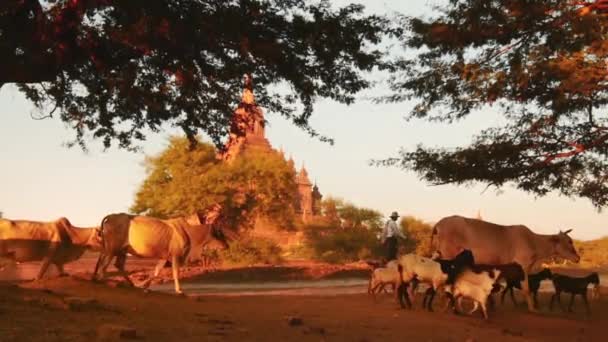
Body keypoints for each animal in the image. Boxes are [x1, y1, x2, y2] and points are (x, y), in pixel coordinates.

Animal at [432, 216, 580, 312]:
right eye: (569, 241)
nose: (578, 258)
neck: (533, 241)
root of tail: (439, 224)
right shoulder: (522, 267)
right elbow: (526, 289)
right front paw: (532, 308)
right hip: (449, 255)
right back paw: (447, 303)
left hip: (440, 253)